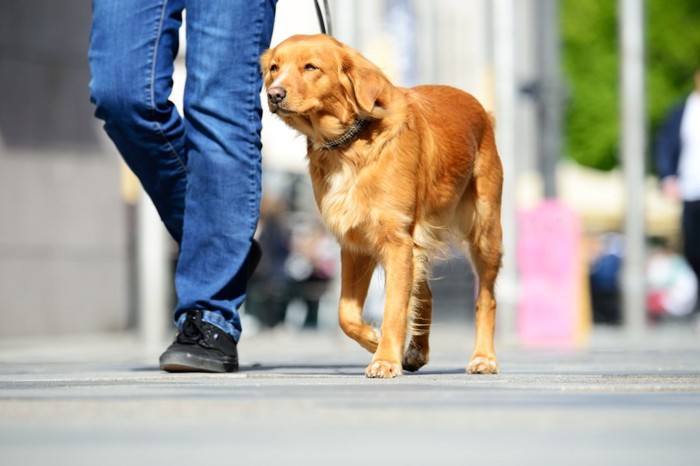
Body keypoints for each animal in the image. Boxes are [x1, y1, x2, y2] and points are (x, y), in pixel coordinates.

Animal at [260, 35, 500, 378]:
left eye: (311, 67)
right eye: (274, 68)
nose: (274, 94)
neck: (350, 144)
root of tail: (479, 106)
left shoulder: (397, 241)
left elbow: (395, 307)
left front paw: (385, 358)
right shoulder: (355, 244)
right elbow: (346, 314)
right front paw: (375, 340)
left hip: (485, 232)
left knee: (486, 298)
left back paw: (483, 357)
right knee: (426, 295)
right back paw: (416, 351)